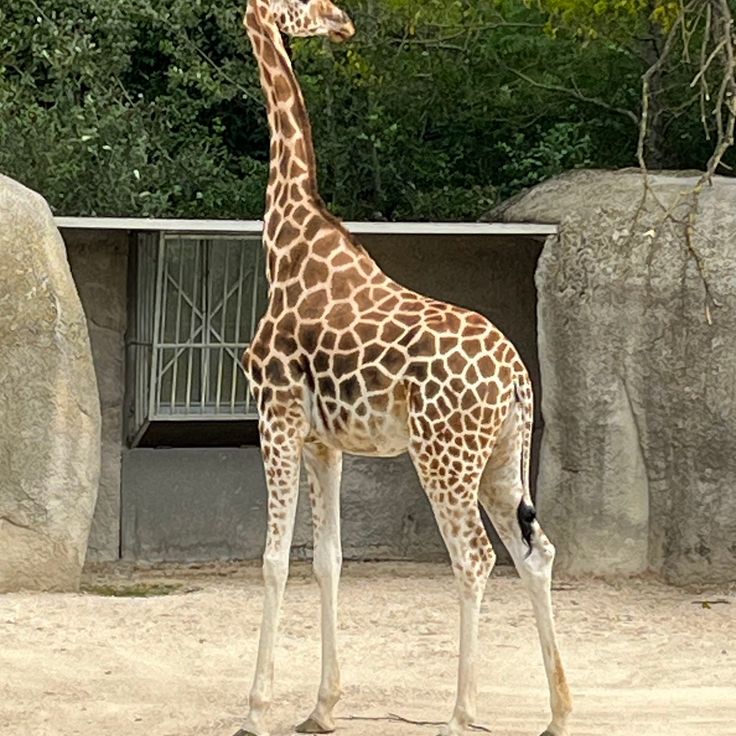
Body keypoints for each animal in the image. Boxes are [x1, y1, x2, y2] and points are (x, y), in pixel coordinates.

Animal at [235, 1, 572, 735]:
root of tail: (517, 378)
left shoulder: (275, 417)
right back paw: (559, 713)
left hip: (443, 456)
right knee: (535, 551)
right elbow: (327, 561)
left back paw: (460, 715)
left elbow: (273, 559)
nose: (340, 21)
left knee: (475, 558)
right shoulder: (323, 441)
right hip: (499, 458)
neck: (286, 242)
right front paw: (321, 708)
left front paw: (256, 709)